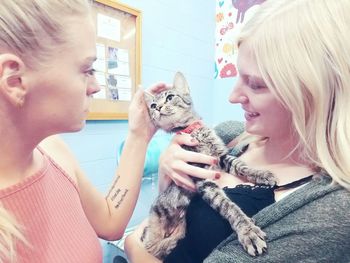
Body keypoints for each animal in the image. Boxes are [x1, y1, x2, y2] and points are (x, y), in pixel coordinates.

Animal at [142, 71, 276, 260]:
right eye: (153, 105)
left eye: (170, 97)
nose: (159, 108)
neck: (195, 132)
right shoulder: (202, 177)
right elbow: (228, 206)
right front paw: (247, 230)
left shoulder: (221, 157)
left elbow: (240, 165)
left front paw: (260, 174)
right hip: (155, 232)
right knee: (152, 247)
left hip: (181, 228)